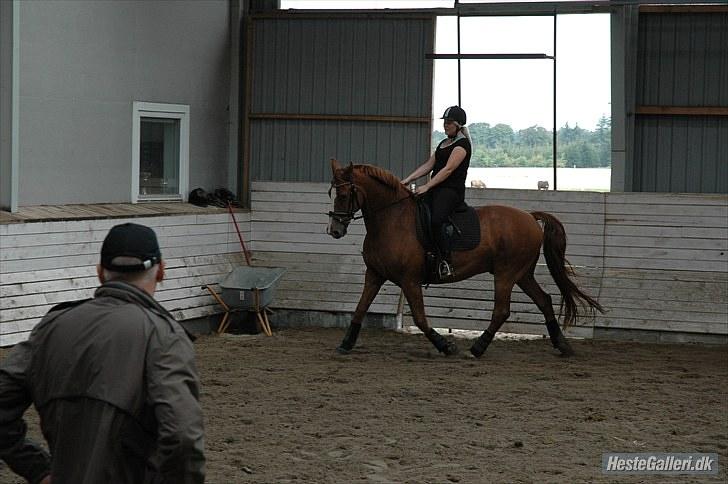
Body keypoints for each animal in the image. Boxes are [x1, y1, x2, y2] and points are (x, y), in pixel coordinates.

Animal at [330, 161, 604, 358]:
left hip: (506, 273)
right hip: (522, 274)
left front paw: (446, 346)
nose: (335, 230)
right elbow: (360, 308)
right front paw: (345, 343)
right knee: (544, 301)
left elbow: (419, 318)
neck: (391, 219)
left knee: (502, 310)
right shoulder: (374, 275)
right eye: (333, 192)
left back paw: (478, 348)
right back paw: (562, 345)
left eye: (343, 194)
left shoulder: (409, 280)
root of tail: (529, 216)